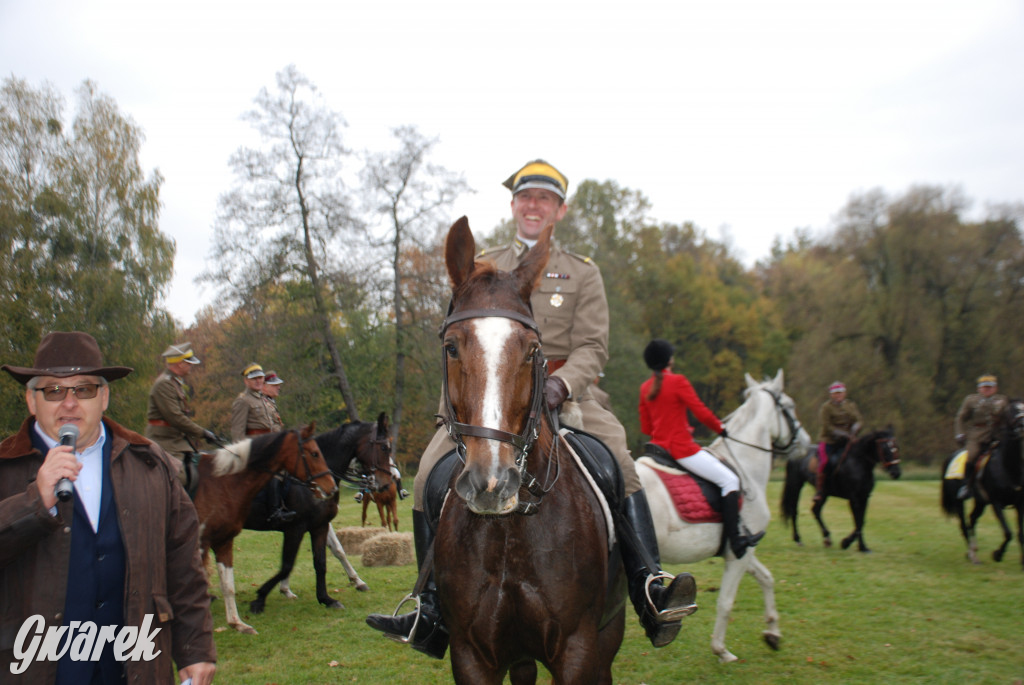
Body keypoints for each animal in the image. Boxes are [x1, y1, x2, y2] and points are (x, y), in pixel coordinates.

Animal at [245, 413, 393, 610]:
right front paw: (267, 594)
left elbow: (326, 557)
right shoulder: (296, 529)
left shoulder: (320, 525)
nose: (386, 484)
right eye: (384, 447)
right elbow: (287, 564)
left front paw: (328, 596)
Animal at [432, 218, 622, 683]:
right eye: (451, 347)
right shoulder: (470, 654)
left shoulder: (578, 649)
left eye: (533, 350)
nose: (492, 484)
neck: (510, 532)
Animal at [634, 368, 811, 663]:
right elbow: (726, 602)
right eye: (790, 405)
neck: (745, 466)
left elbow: (767, 578)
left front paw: (773, 633)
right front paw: (721, 650)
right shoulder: (738, 554)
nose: (807, 444)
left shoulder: (742, 549)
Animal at [937, 397, 1024, 565]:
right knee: (964, 525)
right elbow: (1008, 532)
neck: (1008, 466)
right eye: (1012, 410)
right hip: (960, 502)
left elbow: (1020, 534)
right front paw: (997, 554)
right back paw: (972, 555)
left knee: (972, 519)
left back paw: (972, 551)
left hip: (980, 502)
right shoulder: (996, 503)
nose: (1022, 425)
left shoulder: (1019, 505)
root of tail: (951, 456)